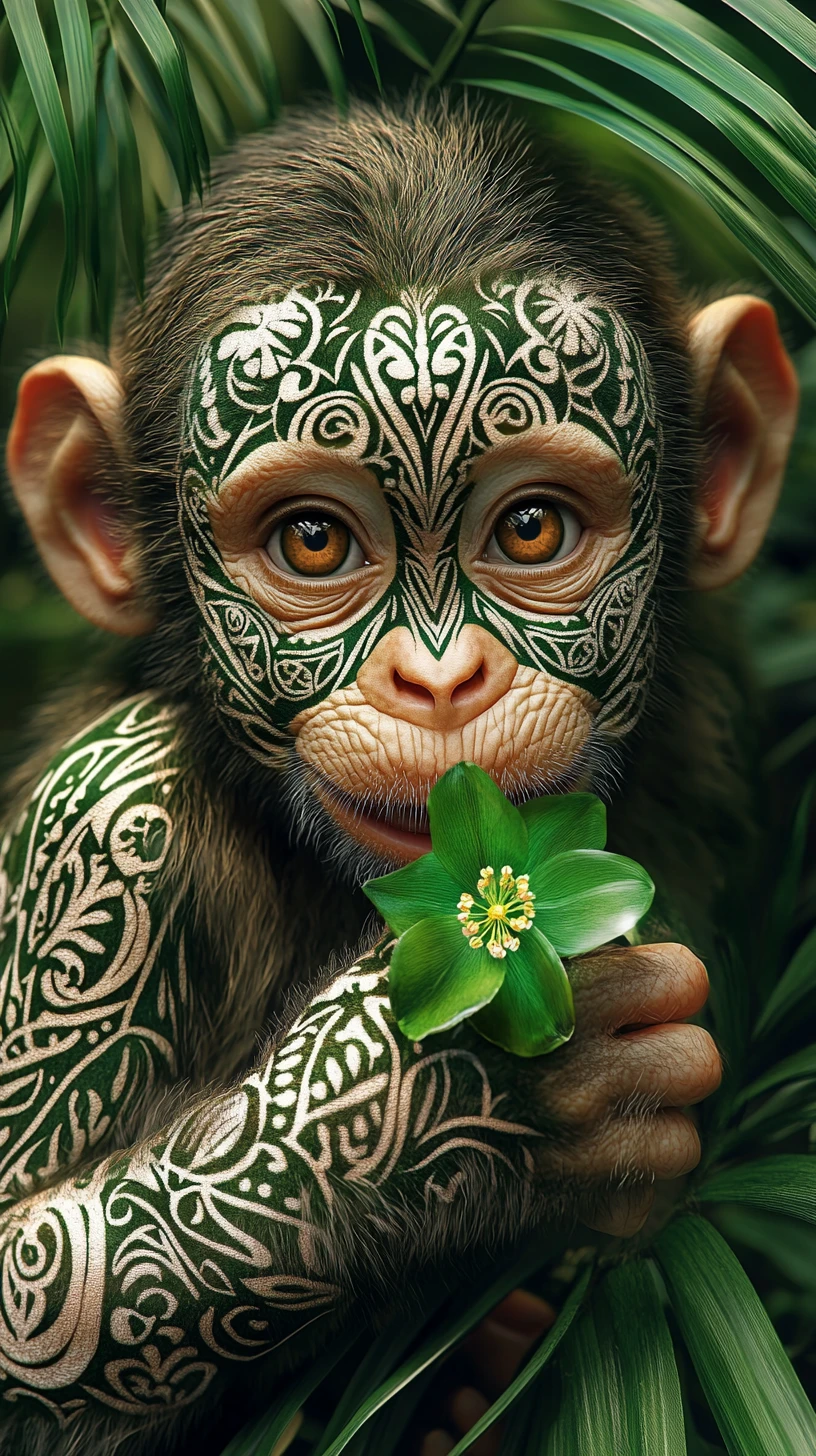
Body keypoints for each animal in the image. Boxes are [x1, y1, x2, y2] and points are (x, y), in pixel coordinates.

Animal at [0, 91, 798, 1456]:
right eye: (314, 540)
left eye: (531, 525)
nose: (439, 681)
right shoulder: (103, 827)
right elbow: (30, 1273)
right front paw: (442, 1110)